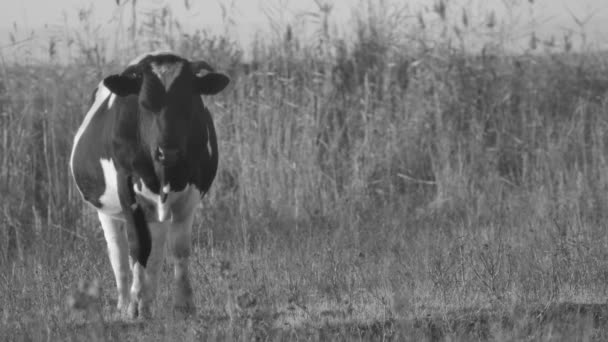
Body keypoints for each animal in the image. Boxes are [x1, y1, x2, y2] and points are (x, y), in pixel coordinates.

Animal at [69, 51, 230, 318]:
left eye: (188, 103)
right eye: (144, 104)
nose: (169, 152)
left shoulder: (190, 195)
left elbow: (179, 248)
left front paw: (184, 304)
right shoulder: (128, 191)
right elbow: (137, 247)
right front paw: (134, 306)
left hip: (156, 214)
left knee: (156, 253)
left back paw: (148, 300)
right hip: (107, 212)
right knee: (120, 254)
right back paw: (126, 302)